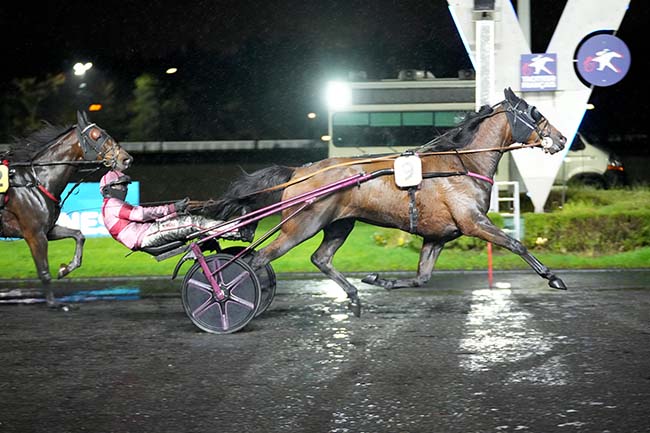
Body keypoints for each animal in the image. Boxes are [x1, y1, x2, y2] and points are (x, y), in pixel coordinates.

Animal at [0, 111, 133, 308]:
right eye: (96, 135)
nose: (126, 159)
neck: (34, 181)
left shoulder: (47, 230)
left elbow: (79, 235)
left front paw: (66, 269)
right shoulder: (34, 234)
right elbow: (44, 272)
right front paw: (54, 303)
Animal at [205, 89, 564, 314]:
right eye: (536, 113)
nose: (560, 138)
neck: (463, 163)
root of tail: (300, 171)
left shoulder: (437, 236)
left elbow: (421, 278)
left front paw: (379, 279)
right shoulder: (473, 222)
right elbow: (515, 244)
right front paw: (552, 277)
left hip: (339, 224)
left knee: (320, 258)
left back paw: (353, 295)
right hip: (300, 226)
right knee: (257, 259)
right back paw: (226, 296)